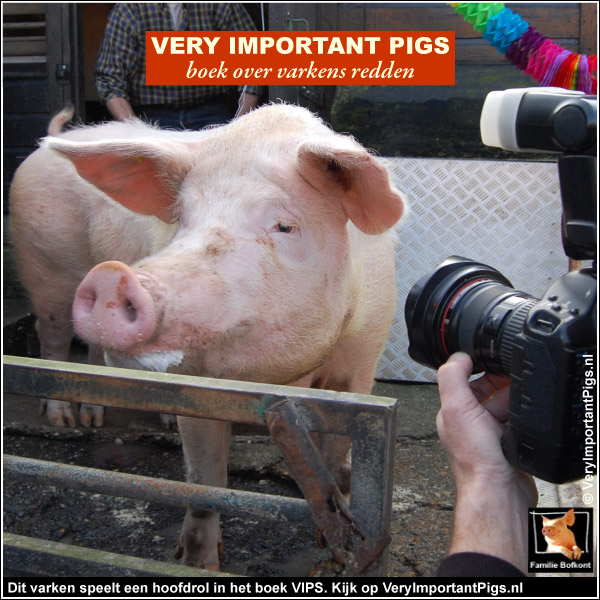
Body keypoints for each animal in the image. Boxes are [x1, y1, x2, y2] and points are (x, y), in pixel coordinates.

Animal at [8, 104, 404, 572]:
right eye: (181, 219)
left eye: (285, 225)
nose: (112, 277)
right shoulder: (197, 382)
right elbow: (205, 480)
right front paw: (196, 564)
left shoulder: (362, 357)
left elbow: (336, 453)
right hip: (44, 268)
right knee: (51, 339)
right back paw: (63, 421)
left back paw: (94, 419)